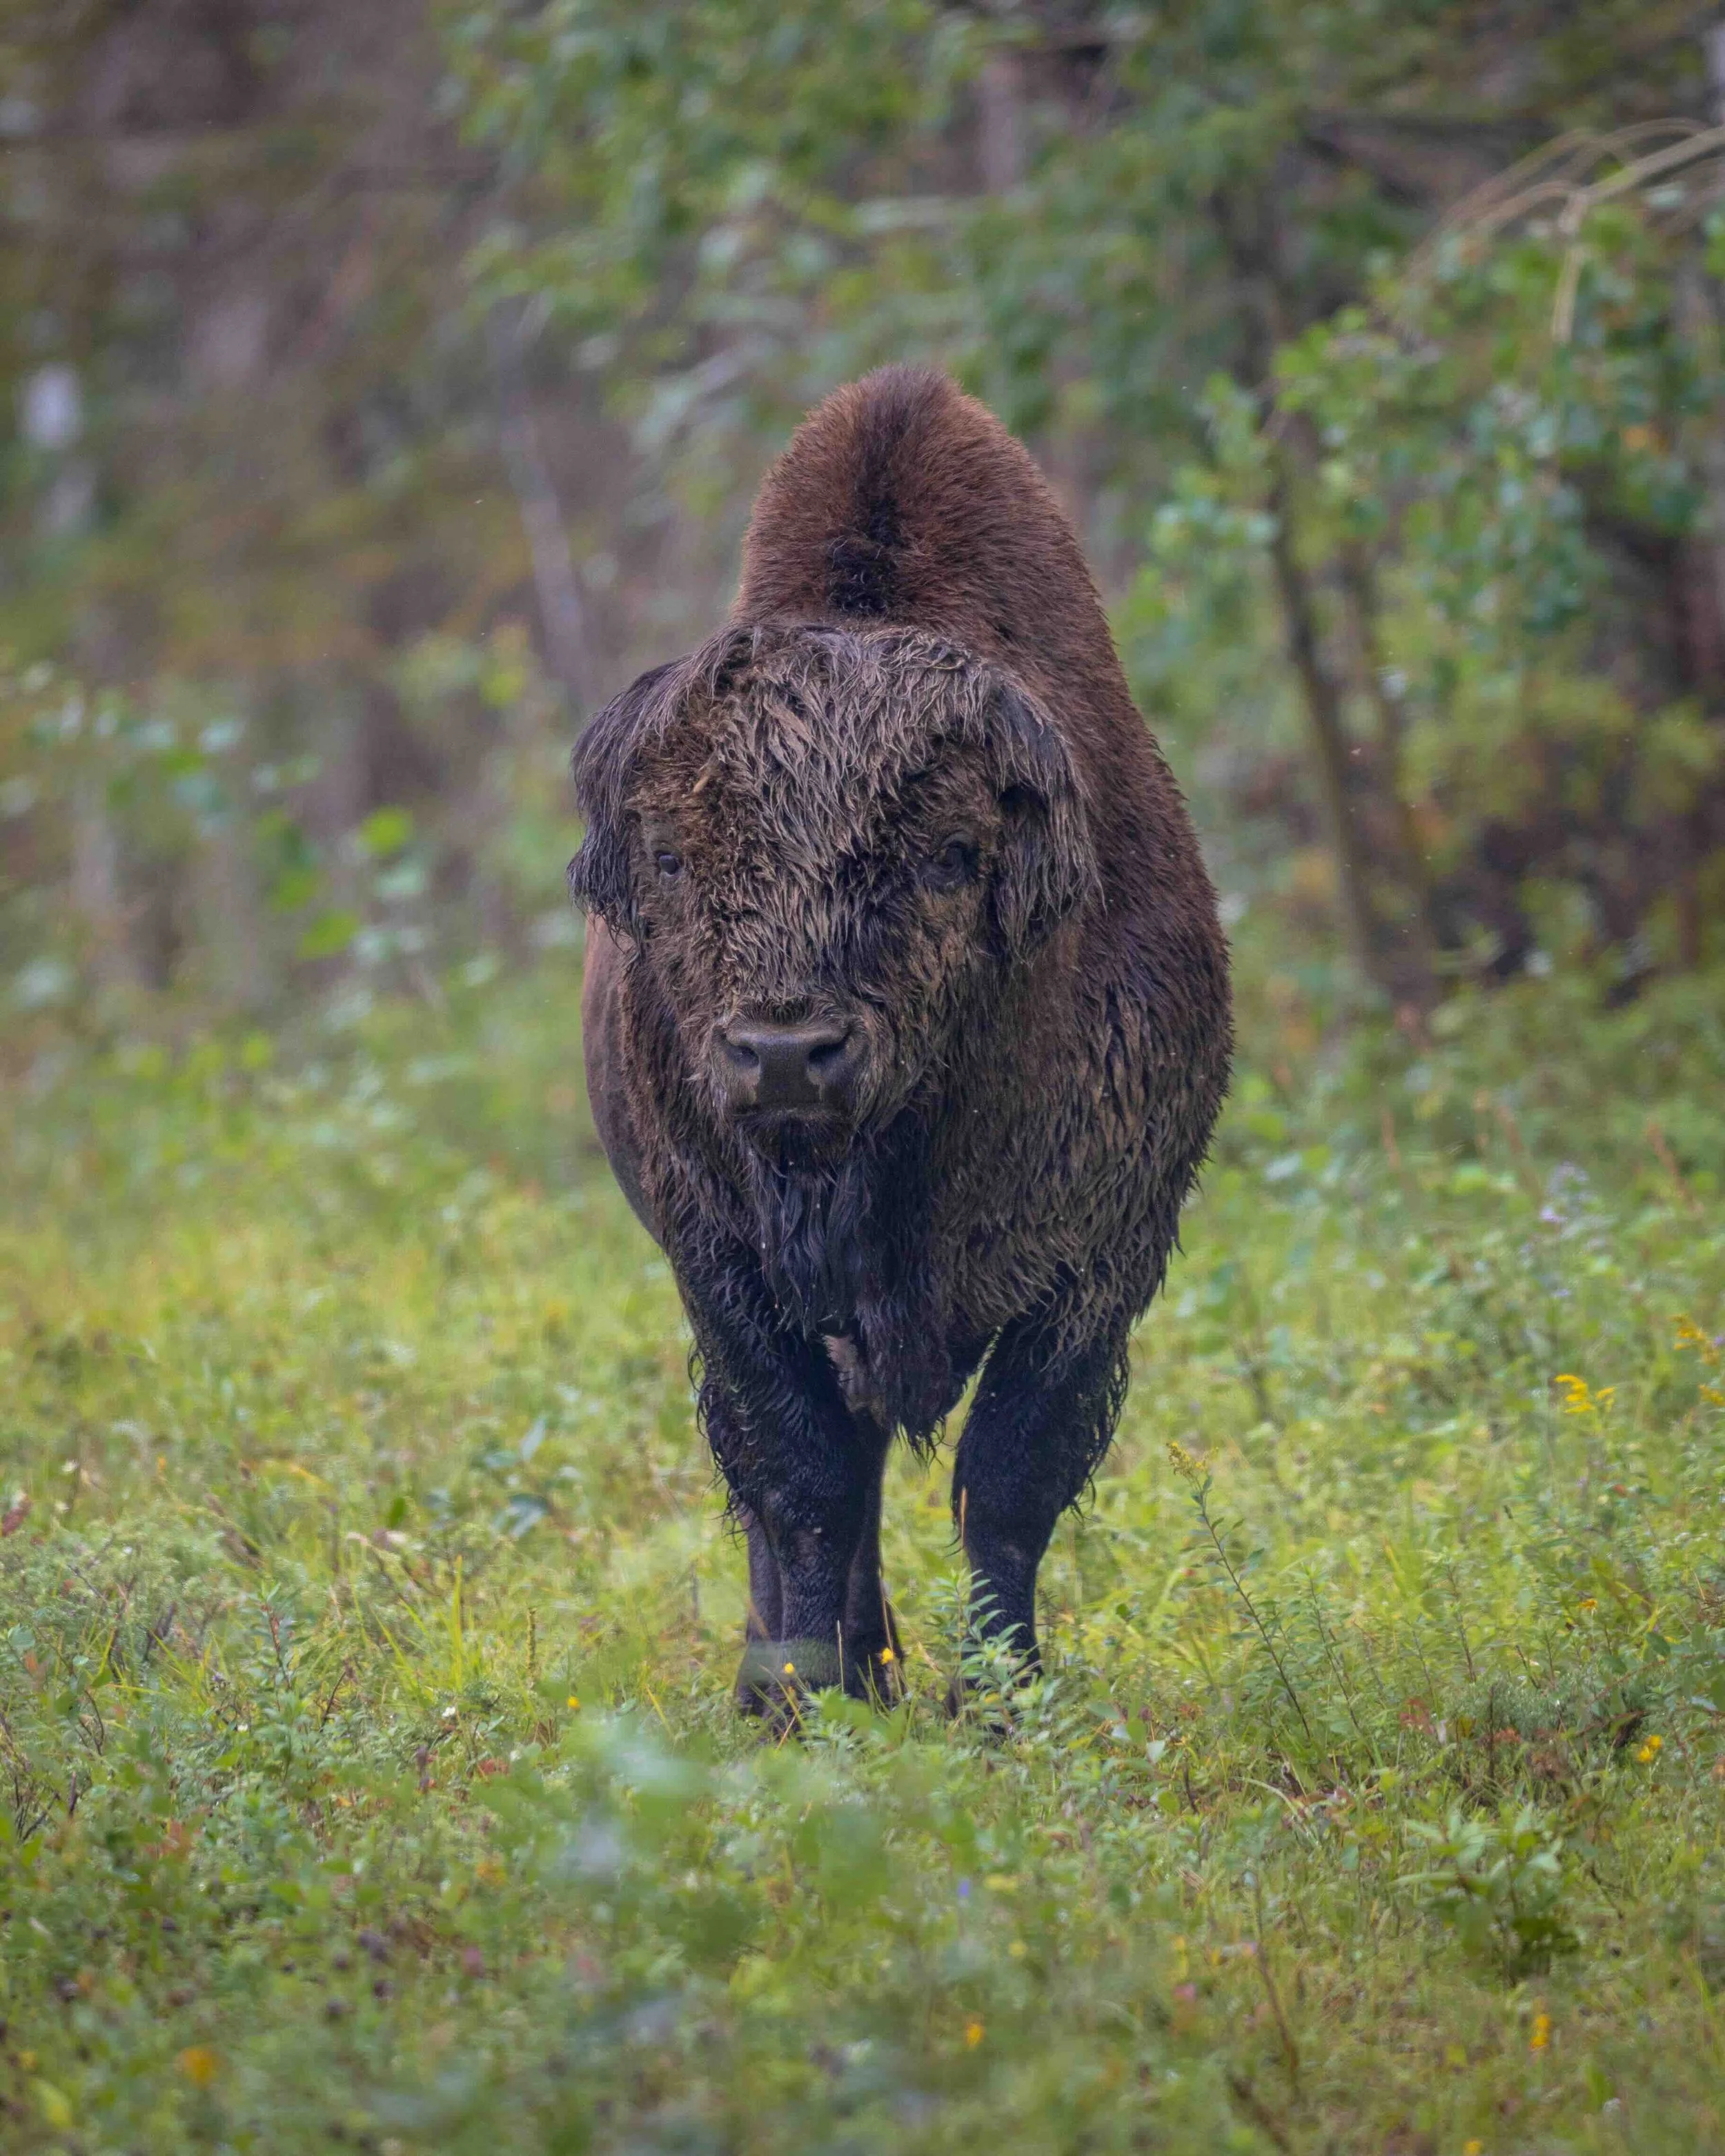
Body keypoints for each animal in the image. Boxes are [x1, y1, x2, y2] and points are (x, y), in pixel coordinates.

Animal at [572, 365, 1230, 1710]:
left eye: (949, 857)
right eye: (670, 857)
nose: (784, 1055)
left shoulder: (1098, 1263)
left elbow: (1006, 1485)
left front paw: (1004, 1707)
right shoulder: (722, 1270)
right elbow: (804, 1481)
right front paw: (800, 1698)